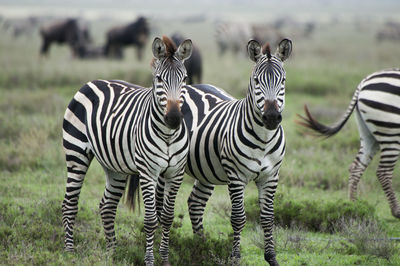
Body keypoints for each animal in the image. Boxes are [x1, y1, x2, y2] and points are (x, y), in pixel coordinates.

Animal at [61, 35, 194, 266]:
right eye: (159, 79)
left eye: (185, 79)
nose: (174, 118)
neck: (168, 135)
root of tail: (91, 82)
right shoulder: (148, 173)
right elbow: (150, 220)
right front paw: (149, 260)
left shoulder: (175, 173)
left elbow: (167, 217)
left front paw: (165, 259)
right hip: (76, 153)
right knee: (70, 203)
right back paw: (69, 251)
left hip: (115, 167)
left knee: (106, 206)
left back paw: (112, 253)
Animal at [177, 38, 290, 264]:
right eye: (256, 81)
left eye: (282, 81)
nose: (272, 117)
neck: (264, 139)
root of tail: (191, 86)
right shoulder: (237, 177)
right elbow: (238, 218)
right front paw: (235, 258)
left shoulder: (271, 177)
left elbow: (268, 218)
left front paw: (272, 258)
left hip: (205, 170)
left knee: (195, 203)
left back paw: (201, 248)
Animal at [298, 68, 400, 218]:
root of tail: (363, 83)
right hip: (391, 130)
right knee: (383, 172)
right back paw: (397, 211)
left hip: (369, 133)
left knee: (356, 167)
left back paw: (353, 207)